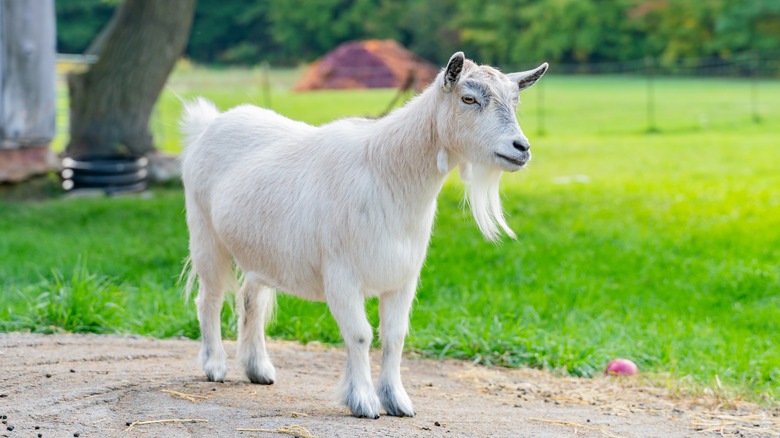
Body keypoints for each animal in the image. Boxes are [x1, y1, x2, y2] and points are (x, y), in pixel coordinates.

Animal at [182, 53, 548, 420]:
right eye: (468, 99)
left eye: (515, 101)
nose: (522, 147)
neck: (387, 172)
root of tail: (209, 124)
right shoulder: (342, 275)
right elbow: (359, 335)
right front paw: (363, 401)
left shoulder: (403, 278)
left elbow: (395, 337)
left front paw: (397, 401)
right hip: (204, 232)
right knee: (209, 298)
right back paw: (215, 365)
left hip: (261, 252)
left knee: (251, 298)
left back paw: (258, 369)